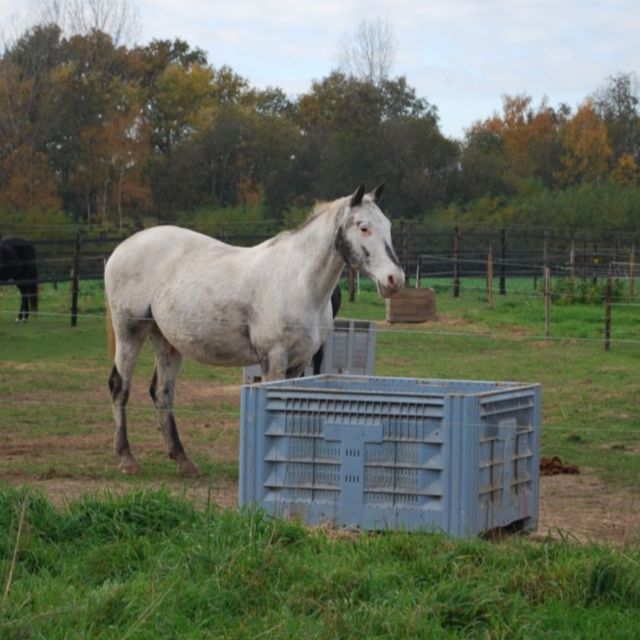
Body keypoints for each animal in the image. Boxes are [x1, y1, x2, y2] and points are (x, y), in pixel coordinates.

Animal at [105, 183, 405, 477]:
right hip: (130, 331)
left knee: (162, 393)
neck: (299, 281)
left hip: (166, 341)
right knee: (120, 386)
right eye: (364, 227)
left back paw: (183, 460)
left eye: (388, 226)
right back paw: (126, 458)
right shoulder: (274, 359)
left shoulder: (300, 362)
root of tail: (122, 248)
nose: (395, 280)